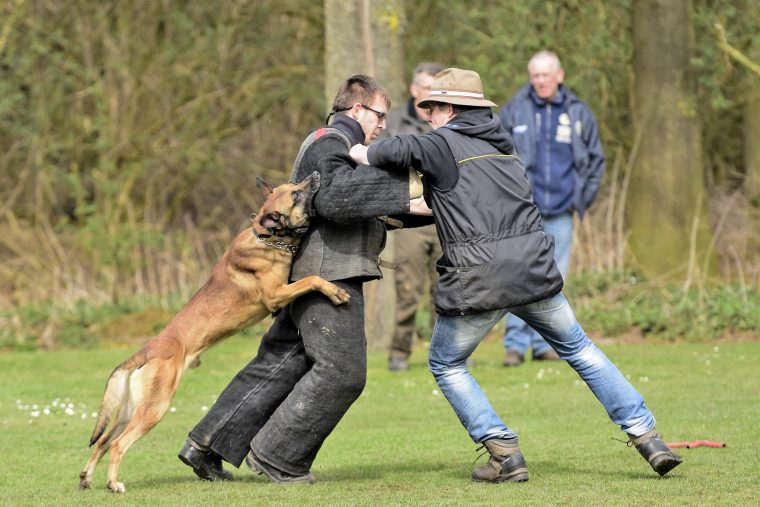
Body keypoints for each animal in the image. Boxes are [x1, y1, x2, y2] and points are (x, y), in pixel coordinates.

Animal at [78, 173, 348, 494]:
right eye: (295, 194)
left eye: (293, 185)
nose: (316, 175)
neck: (266, 238)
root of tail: (147, 350)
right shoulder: (276, 294)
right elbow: (312, 278)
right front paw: (335, 291)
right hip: (154, 408)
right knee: (118, 445)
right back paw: (114, 484)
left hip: (131, 410)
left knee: (103, 442)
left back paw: (86, 478)